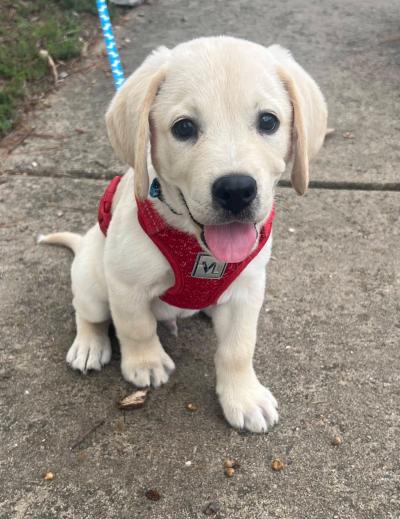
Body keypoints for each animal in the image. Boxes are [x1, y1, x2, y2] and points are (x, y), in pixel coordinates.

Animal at [40, 36, 326, 432]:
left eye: (269, 121)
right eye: (184, 128)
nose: (236, 190)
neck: (195, 244)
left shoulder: (248, 289)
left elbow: (238, 348)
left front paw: (243, 396)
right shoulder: (126, 285)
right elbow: (136, 326)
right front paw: (145, 362)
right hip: (92, 280)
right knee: (88, 313)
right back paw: (89, 345)